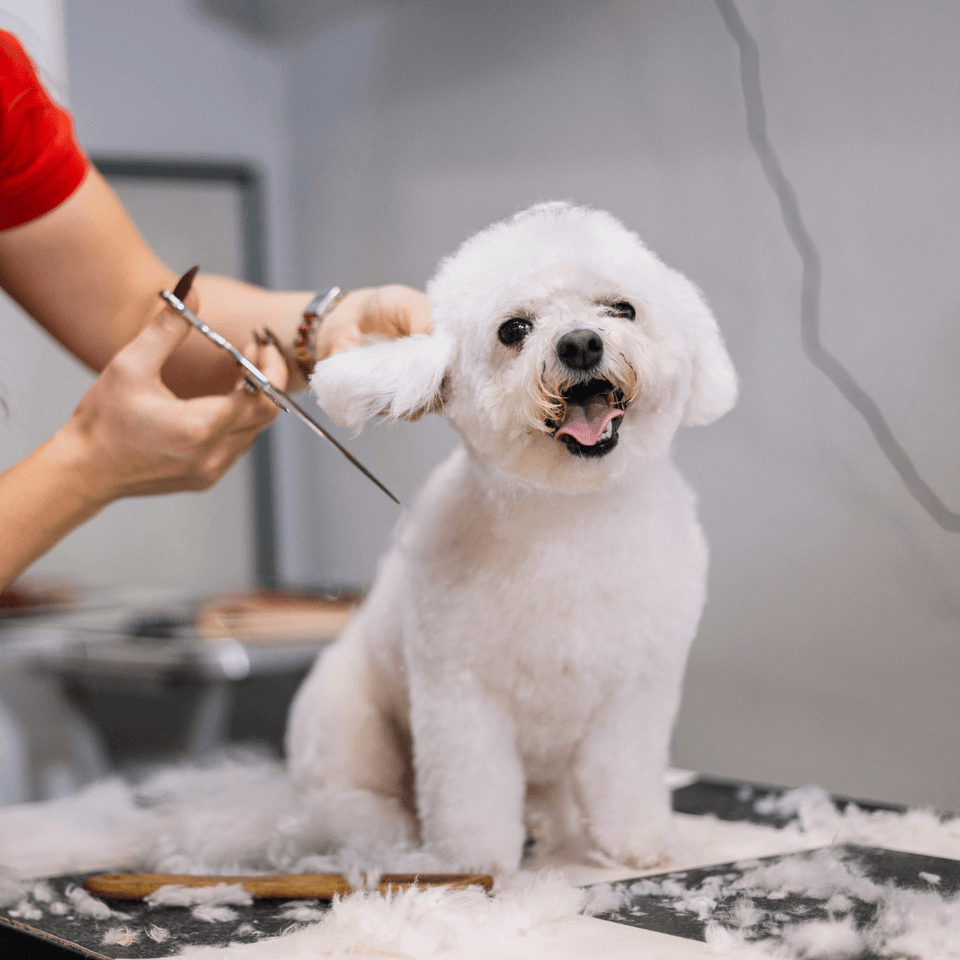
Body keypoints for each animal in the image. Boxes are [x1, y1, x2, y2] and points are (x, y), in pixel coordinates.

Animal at [284, 202, 736, 876]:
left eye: (622, 308)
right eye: (514, 329)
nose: (580, 342)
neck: (569, 519)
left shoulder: (636, 692)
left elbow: (625, 776)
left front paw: (636, 841)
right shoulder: (461, 697)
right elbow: (471, 792)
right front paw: (474, 862)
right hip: (345, 722)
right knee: (352, 796)